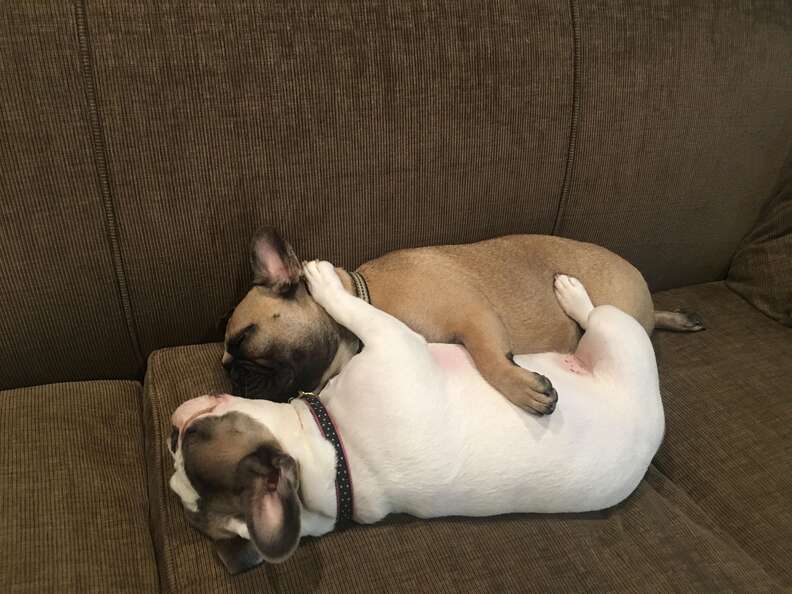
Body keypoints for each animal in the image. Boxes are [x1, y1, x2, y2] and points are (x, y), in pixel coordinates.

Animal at [170, 262, 664, 572]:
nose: (174, 430)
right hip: (618, 334)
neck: (335, 453)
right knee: (596, 316)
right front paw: (326, 283)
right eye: (190, 440)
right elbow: (355, 308)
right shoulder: (393, 339)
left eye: (245, 341)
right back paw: (572, 294)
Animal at [223, 227, 700, 412]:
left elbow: (490, 360)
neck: (366, 292)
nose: (233, 378)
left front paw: (523, 389)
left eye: (245, 338)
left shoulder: (475, 318)